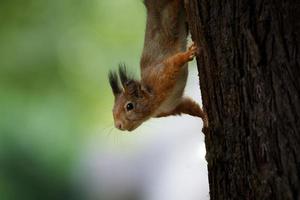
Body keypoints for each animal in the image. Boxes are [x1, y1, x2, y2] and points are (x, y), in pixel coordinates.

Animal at [108, 0, 209, 131]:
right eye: (112, 110)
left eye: (129, 106)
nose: (118, 126)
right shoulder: (175, 106)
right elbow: (191, 107)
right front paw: (205, 119)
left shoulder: (161, 75)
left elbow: (175, 61)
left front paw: (189, 53)